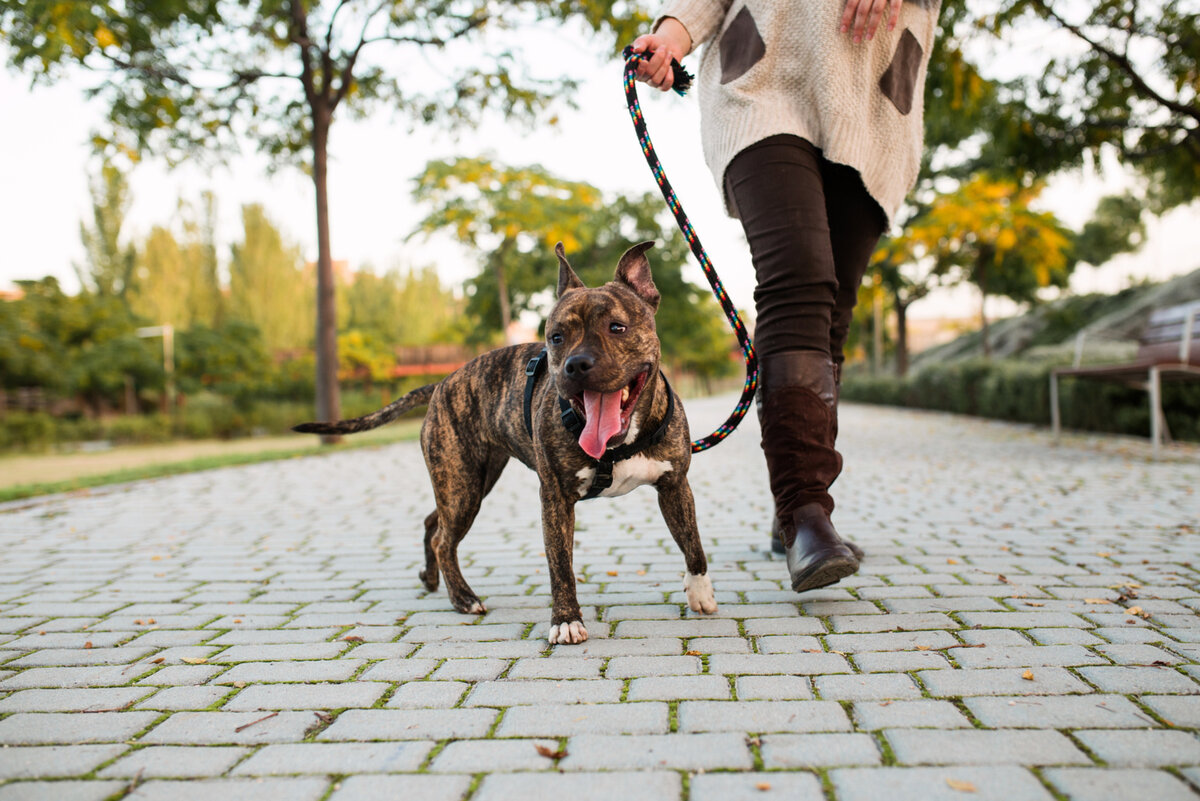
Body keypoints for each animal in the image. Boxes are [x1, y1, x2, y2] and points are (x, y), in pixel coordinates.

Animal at [295, 239, 715, 642]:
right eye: (556, 337)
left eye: (617, 327)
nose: (575, 364)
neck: (618, 444)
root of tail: (442, 383)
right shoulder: (555, 499)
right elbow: (561, 565)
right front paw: (566, 621)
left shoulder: (675, 486)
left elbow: (692, 543)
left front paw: (700, 593)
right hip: (462, 486)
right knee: (444, 539)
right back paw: (463, 598)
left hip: (469, 483)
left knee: (434, 522)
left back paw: (431, 579)